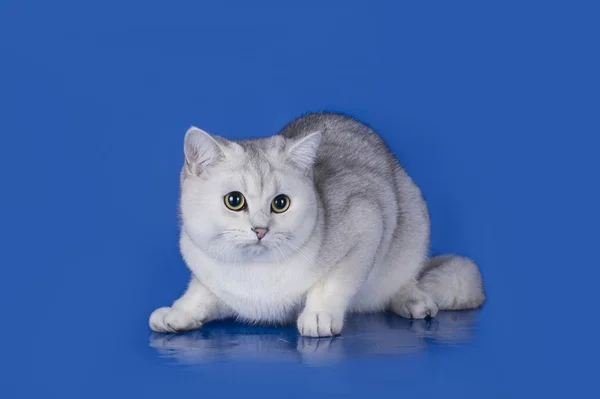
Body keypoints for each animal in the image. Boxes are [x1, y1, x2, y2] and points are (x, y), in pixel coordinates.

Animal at [148, 111, 486, 338]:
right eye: (234, 200)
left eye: (280, 203)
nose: (260, 230)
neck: (253, 274)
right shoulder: (211, 278)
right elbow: (201, 293)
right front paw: (179, 312)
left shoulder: (367, 220)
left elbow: (334, 281)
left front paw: (318, 314)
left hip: (412, 228)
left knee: (406, 281)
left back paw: (414, 301)